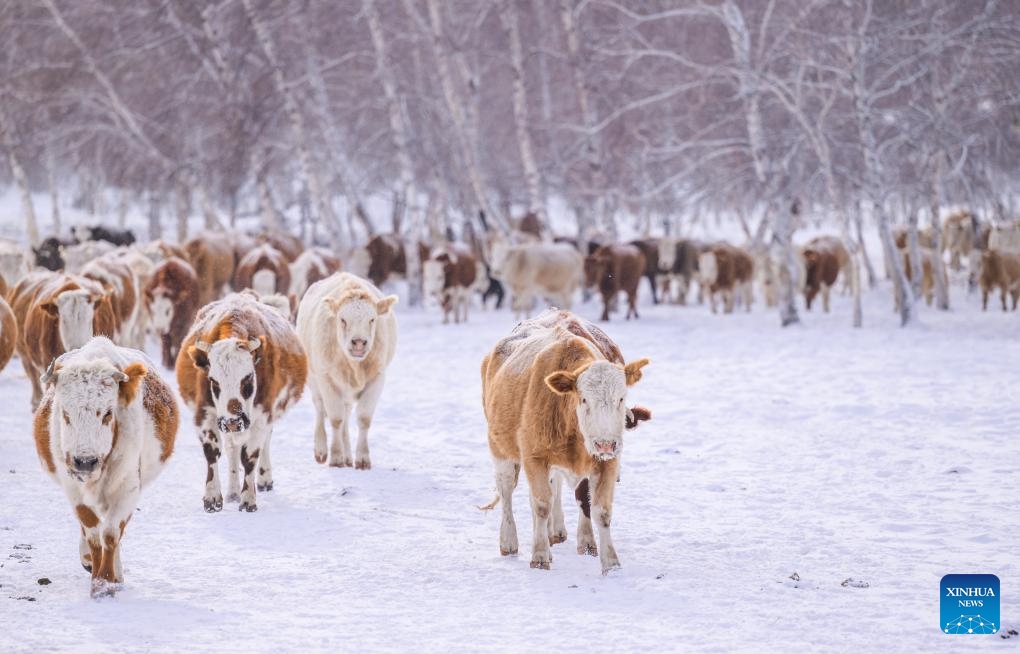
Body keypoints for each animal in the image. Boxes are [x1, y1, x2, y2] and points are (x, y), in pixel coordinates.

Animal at [32, 336, 177, 595]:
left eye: (108, 413)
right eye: (66, 414)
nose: (85, 461)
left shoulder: (127, 489)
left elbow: (110, 534)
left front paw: (107, 582)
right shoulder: (74, 489)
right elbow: (92, 532)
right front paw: (96, 575)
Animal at [175, 293, 306, 512]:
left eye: (248, 378)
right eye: (213, 380)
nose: (232, 422)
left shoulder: (262, 416)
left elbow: (250, 457)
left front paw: (248, 499)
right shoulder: (205, 413)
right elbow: (213, 452)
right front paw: (212, 497)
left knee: (264, 443)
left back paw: (263, 480)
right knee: (232, 449)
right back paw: (233, 491)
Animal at [295, 271, 397, 469]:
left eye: (372, 319)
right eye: (342, 319)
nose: (358, 342)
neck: (354, 366)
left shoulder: (377, 378)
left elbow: (363, 418)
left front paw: (362, 459)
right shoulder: (326, 379)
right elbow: (335, 418)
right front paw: (336, 457)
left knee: (346, 415)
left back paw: (348, 455)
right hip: (314, 381)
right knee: (320, 410)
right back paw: (321, 450)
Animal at [479, 310, 652, 571]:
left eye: (621, 398)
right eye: (583, 399)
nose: (605, 444)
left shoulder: (606, 462)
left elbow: (599, 509)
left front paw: (608, 561)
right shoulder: (534, 457)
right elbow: (541, 504)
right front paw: (540, 555)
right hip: (500, 451)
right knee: (507, 490)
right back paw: (509, 541)